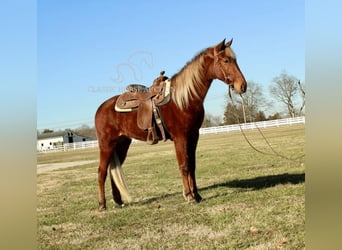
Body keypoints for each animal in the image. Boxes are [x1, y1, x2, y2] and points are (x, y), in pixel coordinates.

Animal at [95, 39, 247, 210]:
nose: (242, 86)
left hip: (122, 144)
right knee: (102, 172)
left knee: (113, 171)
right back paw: (102, 204)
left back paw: (118, 201)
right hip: (106, 145)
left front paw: (197, 195)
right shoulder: (180, 137)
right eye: (226, 60)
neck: (184, 98)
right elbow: (184, 165)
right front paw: (189, 196)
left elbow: (192, 165)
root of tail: (101, 108)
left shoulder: (193, 136)